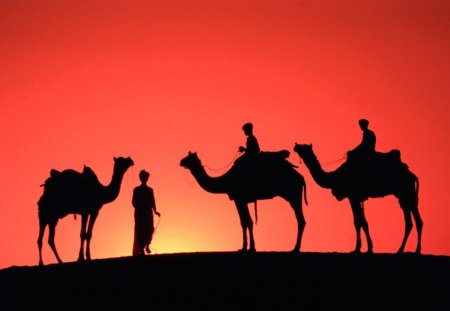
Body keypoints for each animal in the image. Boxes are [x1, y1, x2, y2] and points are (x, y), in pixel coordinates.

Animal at [292, 145, 422, 255]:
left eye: (304, 147)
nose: (296, 146)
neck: (334, 177)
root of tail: (412, 175)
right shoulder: (357, 198)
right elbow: (363, 221)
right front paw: (368, 248)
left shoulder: (352, 196)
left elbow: (357, 221)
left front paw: (358, 248)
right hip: (405, 196)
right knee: (413, 221)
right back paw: (409, 250)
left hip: (405, 192)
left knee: (413, 220)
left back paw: (407, 250)